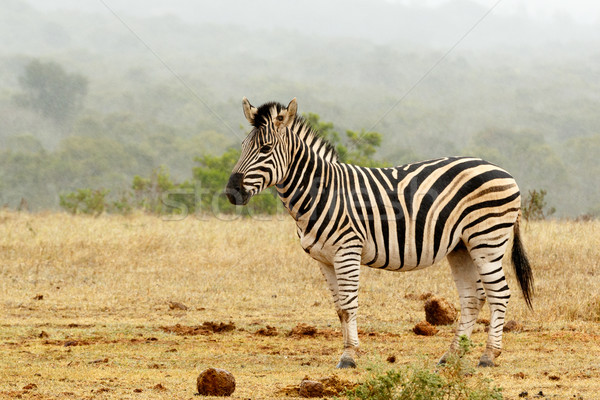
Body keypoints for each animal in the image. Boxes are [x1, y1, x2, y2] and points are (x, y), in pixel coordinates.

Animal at [226, 97, 536, 368]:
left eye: (266, 149)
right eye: (243, 146)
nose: (231, 192)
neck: (321, 192)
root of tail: (504, 172)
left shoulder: (347, 251)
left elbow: (349, 305)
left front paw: (349, 357)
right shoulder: (324, 260)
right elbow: (339, 309)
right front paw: (348, 352)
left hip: (487, 240)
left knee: (500, 294)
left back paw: (488, 356)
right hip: (461, 246)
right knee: (473, 298)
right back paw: (452, 355)